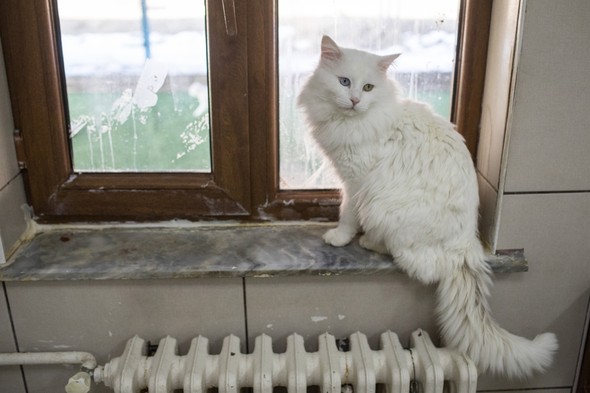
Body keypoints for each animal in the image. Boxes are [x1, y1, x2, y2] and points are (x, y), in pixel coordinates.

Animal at [300, 36, 560, 376]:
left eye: (368, 87)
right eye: (344, 82)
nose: (355, 100)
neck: (356, 121)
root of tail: (466, 246)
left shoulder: (356, 183)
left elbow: (347, 215)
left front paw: (339, 238)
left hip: (383, 208)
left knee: (402, 255)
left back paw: (370, 241)